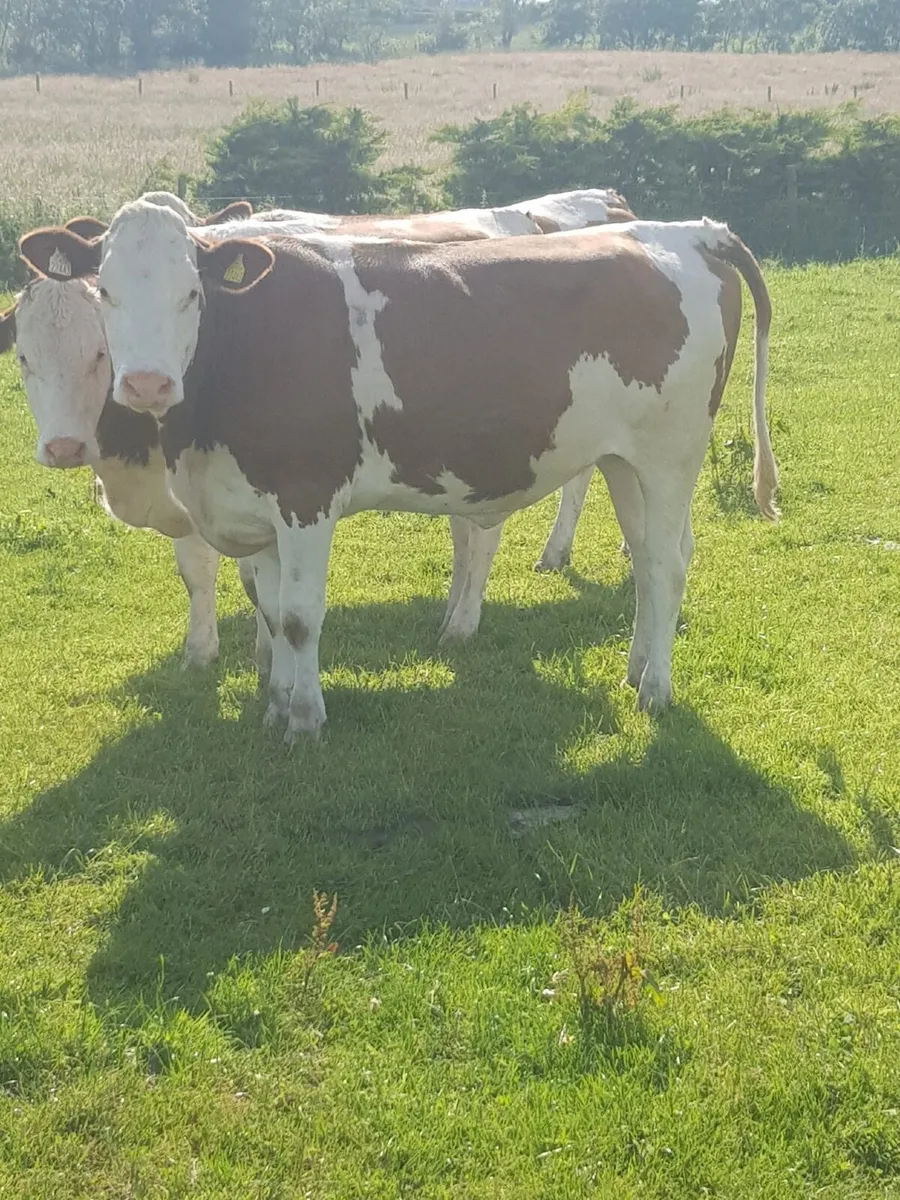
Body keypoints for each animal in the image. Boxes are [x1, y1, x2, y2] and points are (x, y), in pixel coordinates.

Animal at [39, 203, 777, 743]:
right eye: (104, 293)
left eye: (191, 293)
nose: (147, 383)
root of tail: (688, 231)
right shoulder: (255, 502)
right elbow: (270, 612)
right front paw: (276, 704)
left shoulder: (306, 494)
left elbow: (300, 617)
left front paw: (305, 720)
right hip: (623, 458)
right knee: (652, 556)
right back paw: (636, 668)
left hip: (670, 452)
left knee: (666, 566)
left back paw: (655, 691)